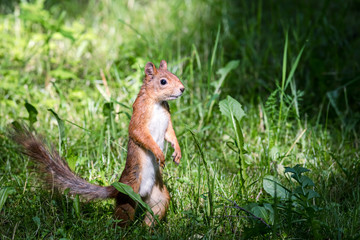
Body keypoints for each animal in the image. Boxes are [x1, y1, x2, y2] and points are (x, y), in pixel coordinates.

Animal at [10, 60, 186, 227]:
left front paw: (177, 152)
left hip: (159, 196)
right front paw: (159, 153)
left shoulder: (167, 120)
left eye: (175, 75)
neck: (157, 102)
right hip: (129, 195)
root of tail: (118, 186)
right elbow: (139, 134)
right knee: (122, 216)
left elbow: (170, 134)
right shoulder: (140, 115)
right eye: (163, 81)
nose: (182, 89)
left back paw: (147, 229)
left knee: (155, 210)